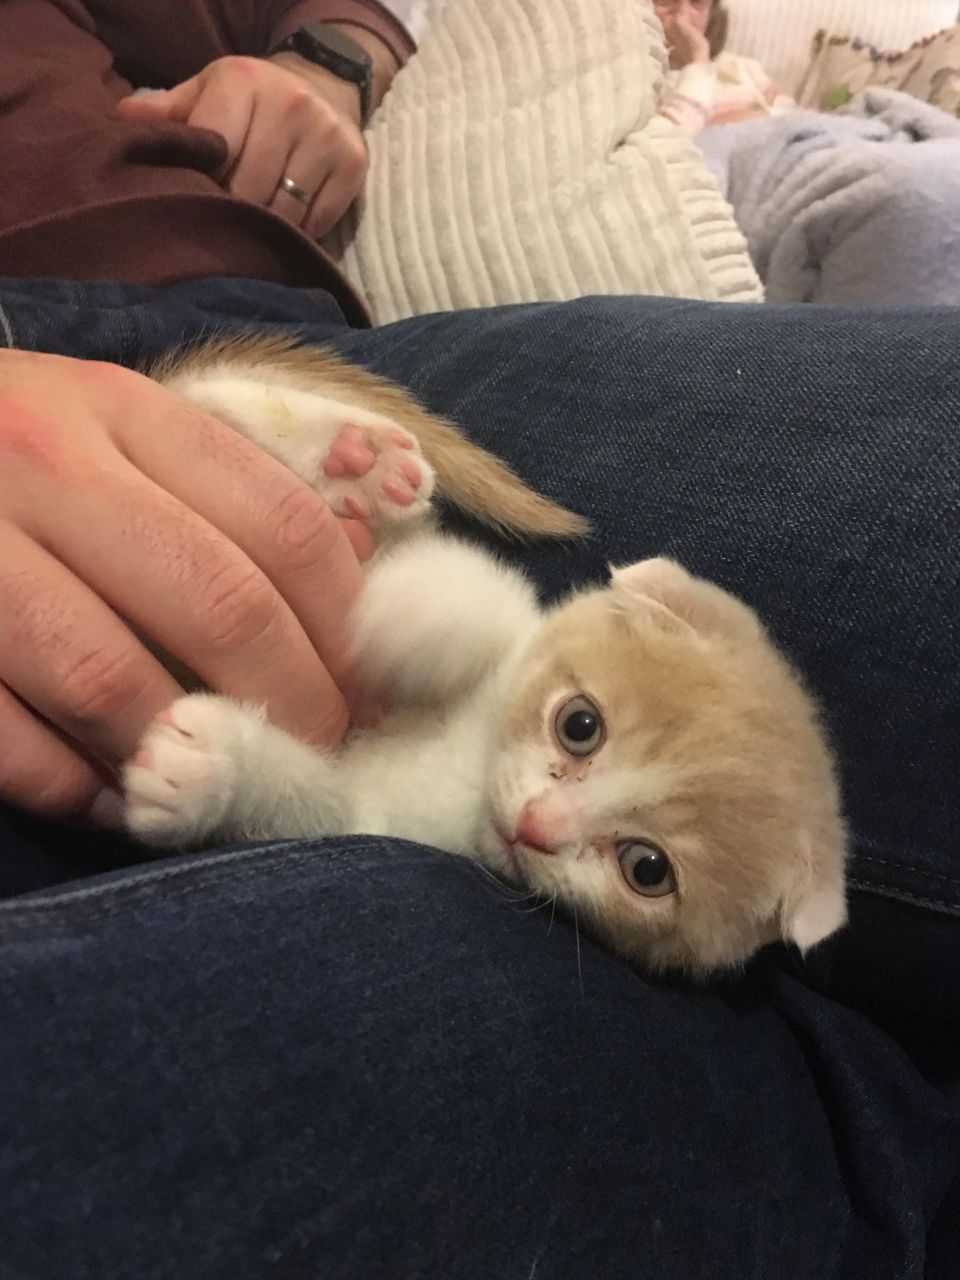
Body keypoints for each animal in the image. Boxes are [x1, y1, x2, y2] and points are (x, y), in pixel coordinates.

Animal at [124, 336, 848, 978]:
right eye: (580, 725)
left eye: (647, 870)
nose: (536, 826)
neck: (468, 771)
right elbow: (471, 586)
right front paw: (409, 617)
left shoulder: (363, 816)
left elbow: (303, 803)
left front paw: (203, 769)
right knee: (205, 403)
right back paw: (348, 455)